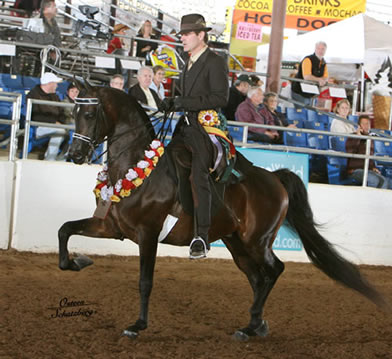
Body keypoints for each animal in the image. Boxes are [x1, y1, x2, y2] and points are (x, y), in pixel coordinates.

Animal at [59, 82, 388, 344]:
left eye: (90, 114)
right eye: (73, 112)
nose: (74, 155)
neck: (137, 167)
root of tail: (274, 178)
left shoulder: (148, 234)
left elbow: (145, 281)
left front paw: (137, 326)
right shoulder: (111, 228)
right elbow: (65, 230)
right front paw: (78, 261)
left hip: (257, 241)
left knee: (274, 270)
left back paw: (252, 324)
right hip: (237, 244)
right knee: (258, 278)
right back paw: (255, 324)